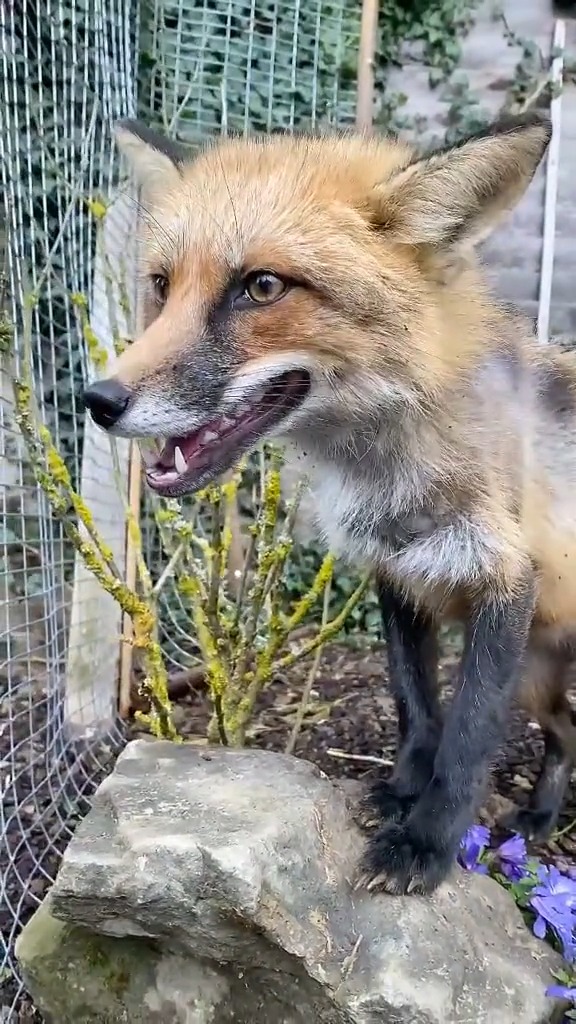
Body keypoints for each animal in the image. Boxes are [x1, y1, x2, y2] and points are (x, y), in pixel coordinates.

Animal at [83, 111, 576, 897]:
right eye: (161, 285)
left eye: (261, 286)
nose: (96, 400)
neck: (388, 472)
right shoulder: (398, 576)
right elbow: (416, 710)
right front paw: (400, 792)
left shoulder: (504, 582)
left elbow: (466, 738)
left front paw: (426, 844)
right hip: (537, 678)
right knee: (570, 734)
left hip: (529, 673)